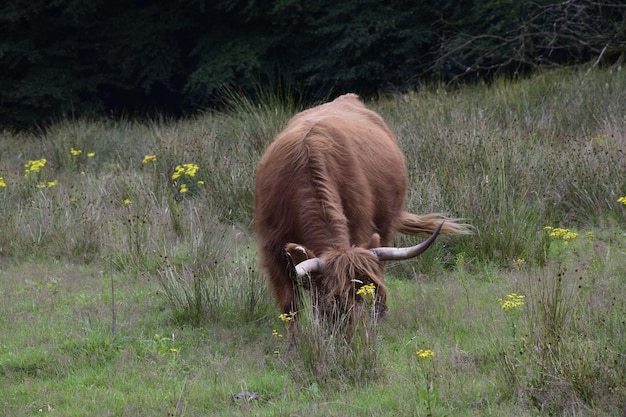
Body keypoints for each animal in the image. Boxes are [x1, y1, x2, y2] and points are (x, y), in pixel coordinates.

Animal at [254, 92, 468, 316]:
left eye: (368, 293)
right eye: (333, 301)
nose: (359, 325)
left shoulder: (359, 229)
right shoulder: (272, 248)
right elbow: (290, 305)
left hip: (385, 226)